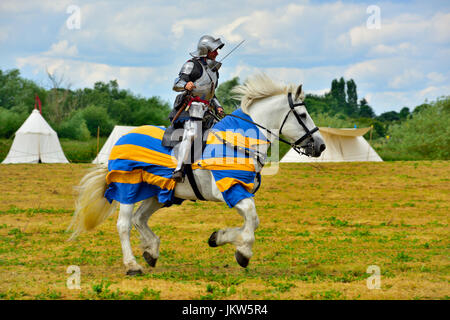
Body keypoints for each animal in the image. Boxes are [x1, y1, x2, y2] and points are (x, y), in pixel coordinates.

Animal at [68, 73, 326, 276]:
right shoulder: (230, 190)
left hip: (159, 193)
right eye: (303, 115)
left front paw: (219, 238)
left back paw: (151, 250)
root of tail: (121, 140)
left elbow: (251, 222)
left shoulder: (237, 192)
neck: (240, 141)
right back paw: (132, 265)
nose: (321, 146)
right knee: (124, 224)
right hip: (127, 188)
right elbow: (252, 220)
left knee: (139, 219)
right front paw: (242, 252)